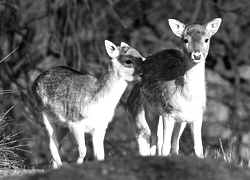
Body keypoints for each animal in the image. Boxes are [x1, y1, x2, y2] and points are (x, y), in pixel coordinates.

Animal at [32, 40, 144, 168]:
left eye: (142, 57)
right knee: (51, 144)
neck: (96, 104)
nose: (144, 73)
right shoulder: (75, 122)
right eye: (128, 61)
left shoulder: (101, 127)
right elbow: (83, 150)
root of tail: (34, 82)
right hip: (45, 114)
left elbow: (100, 155)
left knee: (57, 143)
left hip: (63, 125)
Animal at [128, 17, 222, 158]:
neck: (188, 99)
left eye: (206, 39)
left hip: (180, 121)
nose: (197, 55)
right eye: (185, 40)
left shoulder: (197, 115)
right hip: (149, 109)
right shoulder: (168, 113)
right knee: (155, 139)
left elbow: (198, 149)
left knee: (174, 143)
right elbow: (164, 148)